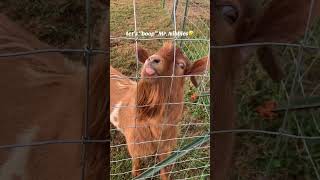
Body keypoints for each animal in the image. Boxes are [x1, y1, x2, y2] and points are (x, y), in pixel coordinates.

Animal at [110, 42, 209, 180]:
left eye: (181, 65)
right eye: (154, 52)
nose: (152, 59)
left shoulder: (165, 147)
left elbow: (164, 168)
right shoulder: (135, 144)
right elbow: (136, 162)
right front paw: (136, 174)